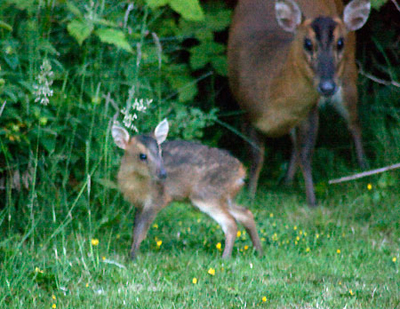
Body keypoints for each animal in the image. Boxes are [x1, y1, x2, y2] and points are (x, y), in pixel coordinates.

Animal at [228, 0, 372, 207]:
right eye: (308, 43)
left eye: (340, 43)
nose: (327, 87)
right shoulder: (245, 111)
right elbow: (256, 158)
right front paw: (249, 196)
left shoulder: (309, 112)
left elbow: (306, 156)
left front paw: (312, 201)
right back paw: (286, 182)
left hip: (349, 77)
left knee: (354, 123)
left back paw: (363, 167)